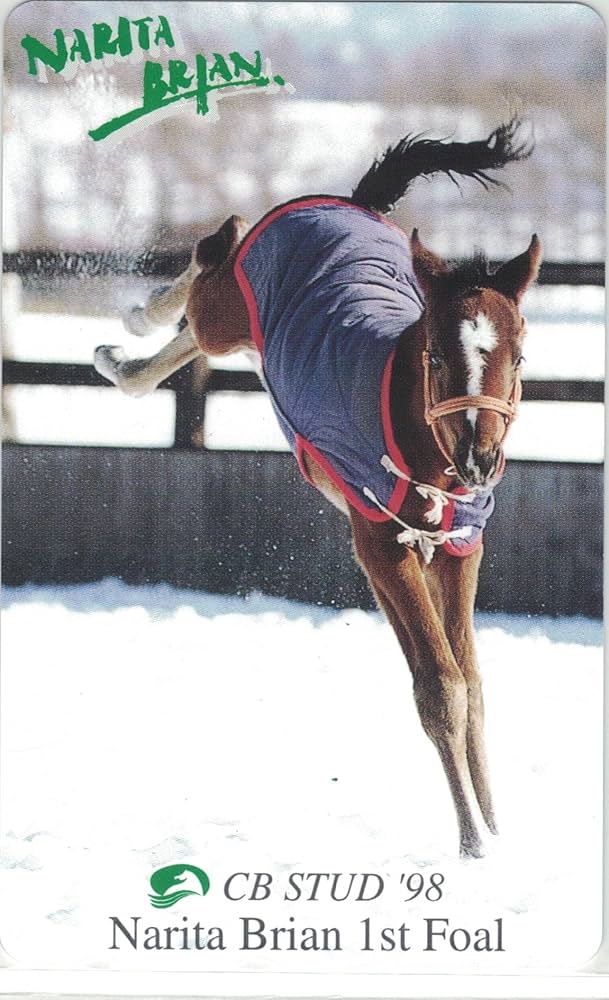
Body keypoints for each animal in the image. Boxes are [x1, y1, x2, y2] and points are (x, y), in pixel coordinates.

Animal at [94, 117, 541, 858]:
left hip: (249, 334)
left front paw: (497, 831)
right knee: (215, 261)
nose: (480, 461)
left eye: (520, 354)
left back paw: (123, 358)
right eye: (436, 357)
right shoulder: (381, 546)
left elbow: (472, 685)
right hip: (235, 306)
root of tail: (351, 202)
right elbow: (441, 689)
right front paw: (474, 844)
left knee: (195, 326)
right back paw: (133, 323)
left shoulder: (458, 550)